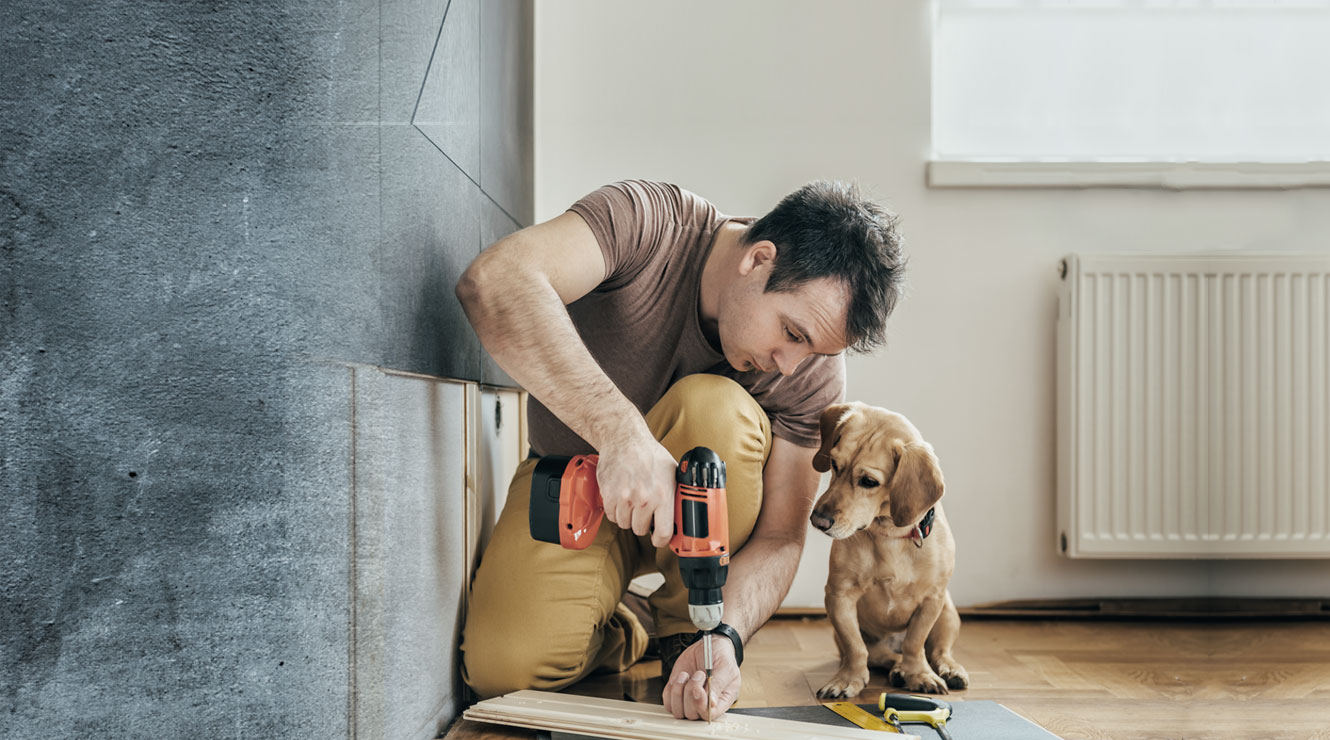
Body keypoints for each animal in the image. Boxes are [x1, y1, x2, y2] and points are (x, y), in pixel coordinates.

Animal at [803, 401, 973, 697]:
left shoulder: (932, 599)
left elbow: (915, 643)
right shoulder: (839, 596)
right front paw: (848, 679)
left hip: (948, 613)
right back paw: (897, 669)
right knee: (881, 655)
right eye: (834, 464)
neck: (889, 535)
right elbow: (855, 648)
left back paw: (948, 669)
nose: (818, 520)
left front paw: (920, 674)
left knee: (939, 651)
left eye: (869, 481)